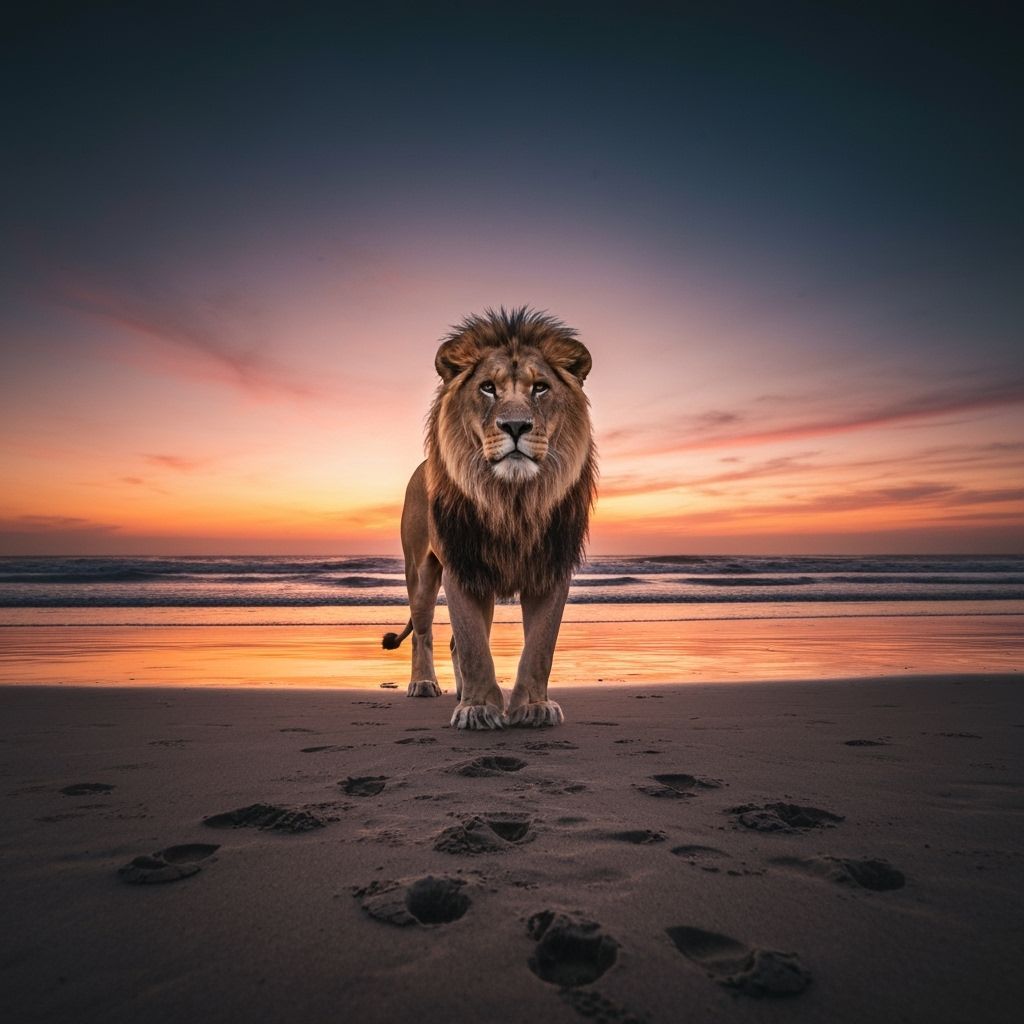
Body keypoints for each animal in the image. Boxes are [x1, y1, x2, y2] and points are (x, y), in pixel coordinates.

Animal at [382, 307, 596, 730]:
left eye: (540, 388)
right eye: (487, 388)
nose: (515, 426)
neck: (512, 500)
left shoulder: (550, 568)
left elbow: (540, 647)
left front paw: (533, 706)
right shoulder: (463, 567)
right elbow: (473, 645)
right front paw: (478, 709)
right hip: (420, 571)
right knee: (423, 632)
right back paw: (424, 684)